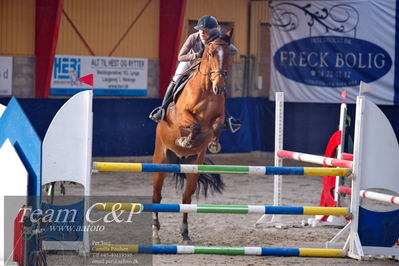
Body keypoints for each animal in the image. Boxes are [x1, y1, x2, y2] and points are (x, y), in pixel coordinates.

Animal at [152, 30, 234, 243]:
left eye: (229, 54)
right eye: (210, 53)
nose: (219, 87)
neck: (207, 89)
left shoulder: (219, 117)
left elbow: (217, 125)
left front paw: (213, 143)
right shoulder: (181, 115)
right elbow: (194, 124)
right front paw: (186, 140)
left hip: (192, 169)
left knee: (186, 199)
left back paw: (185, 234)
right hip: (161, 161)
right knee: (156, 196)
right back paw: (155, 232)